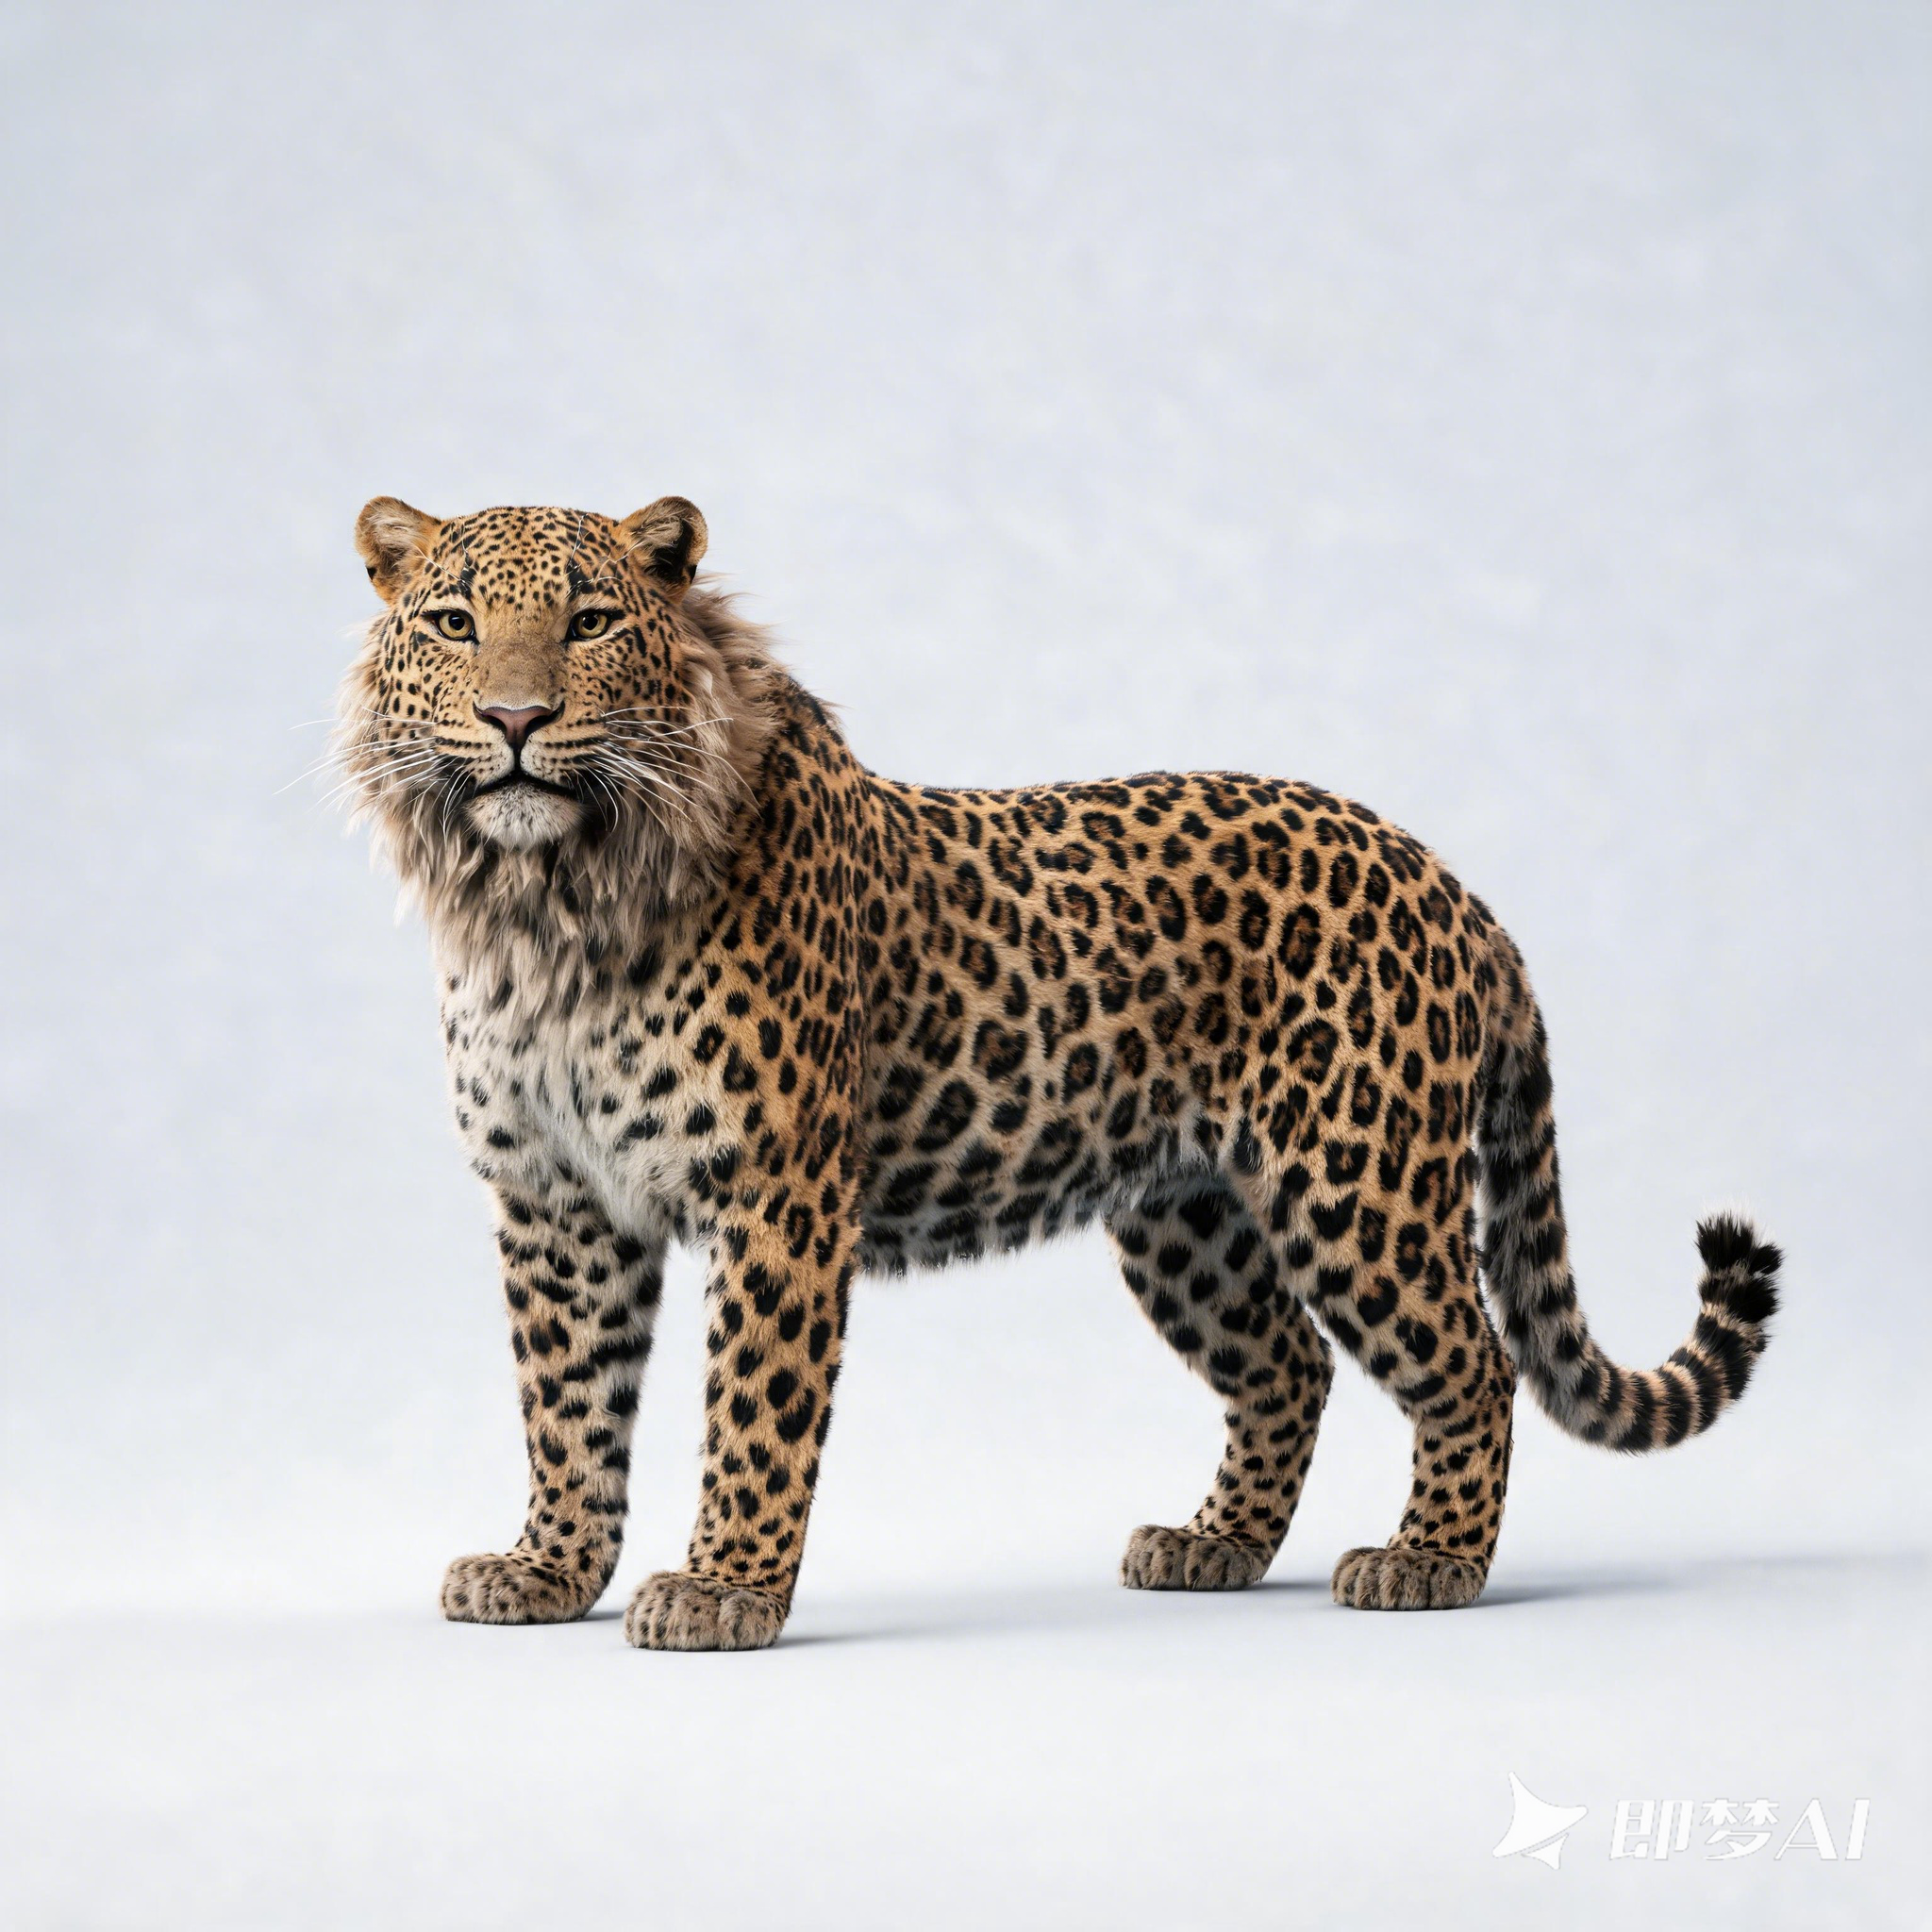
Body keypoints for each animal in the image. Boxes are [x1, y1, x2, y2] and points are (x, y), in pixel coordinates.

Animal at [336, 494, 1781, 1650]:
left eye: (586, 622)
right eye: (456, 623)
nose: (515, 717)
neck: (544, 906)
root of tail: (1453, 886)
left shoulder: (775, 1193)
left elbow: (754, 1403)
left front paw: (726, 1591)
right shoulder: (557, 1204)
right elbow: (566, 1403)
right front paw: (547, 1570)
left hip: (1353, 1185)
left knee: (1471, 1362)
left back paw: (1430, 1560)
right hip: (1188, 1217)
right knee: (1287, 1367)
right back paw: (1214, 1546)